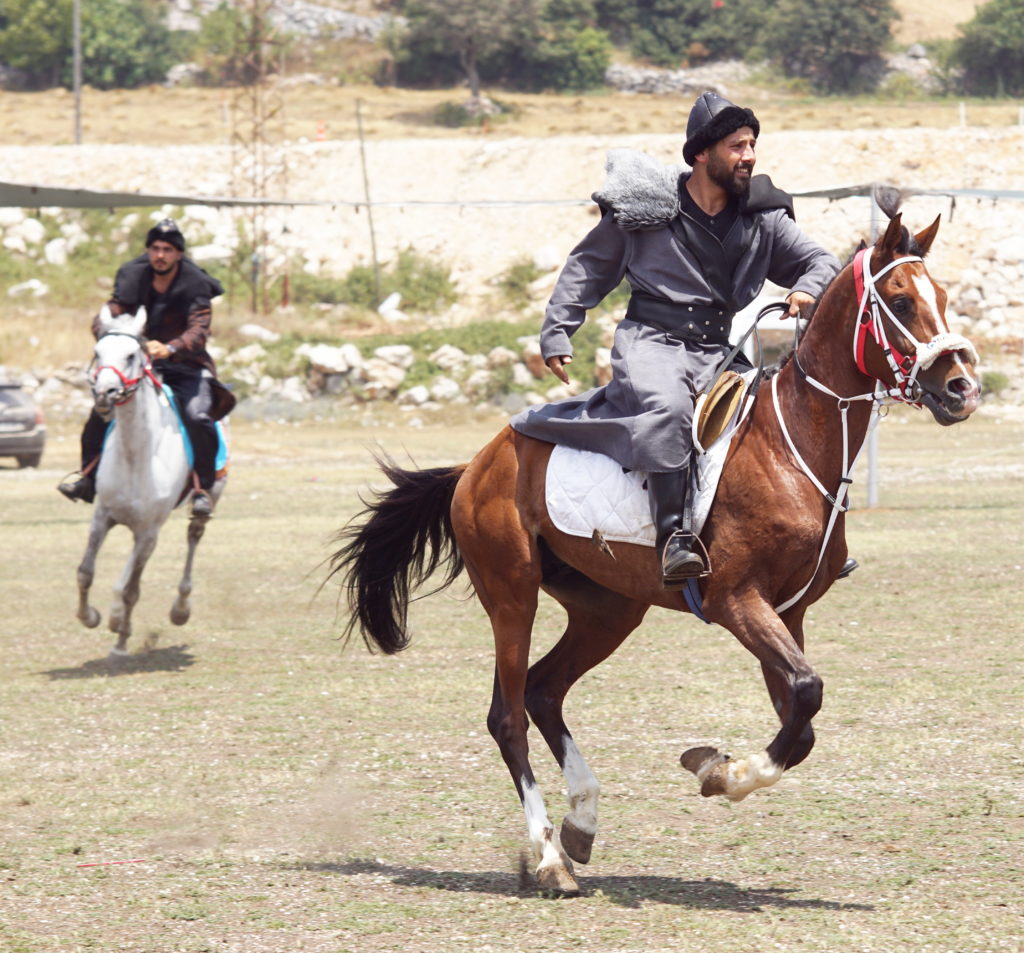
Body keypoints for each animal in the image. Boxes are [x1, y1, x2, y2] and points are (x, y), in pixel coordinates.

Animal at [76, 305, 226, 655]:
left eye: (131, 355)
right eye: (97, 352)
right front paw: (91, 616)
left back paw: (179, 609)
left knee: (193, 538)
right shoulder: (102, 517)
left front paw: (120, 636)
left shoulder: (148, 532)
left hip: (208, 498)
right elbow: (86, 572)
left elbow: (131, 589)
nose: (105, 394)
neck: (135, 455)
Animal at [331, 208, 978, 892]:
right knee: (507, 715)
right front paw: (719, 772)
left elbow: (799, 721)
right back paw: (549, 856)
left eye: (943, 298)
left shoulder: (788, 613)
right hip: (513, 600)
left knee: (543, 691)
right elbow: (805, 695)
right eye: (901, 301)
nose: (961, 387)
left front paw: (719, 769)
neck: (789, 446)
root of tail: (478, 464)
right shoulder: (737, 602)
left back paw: (581, 822)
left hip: (609, 611)